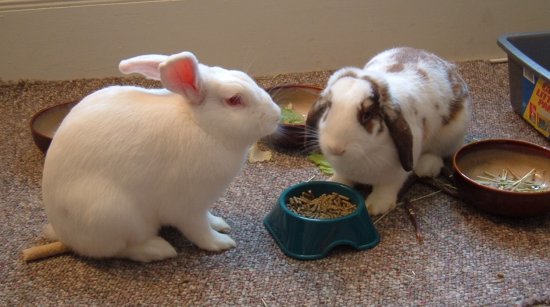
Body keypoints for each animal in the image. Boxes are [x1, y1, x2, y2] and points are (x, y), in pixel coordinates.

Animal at [41, 51, 282, 262]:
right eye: (234, 100)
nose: (277, 115)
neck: (201, 125)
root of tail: (63, 234)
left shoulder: (202, 205)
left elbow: (208, 219)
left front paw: (220, 223)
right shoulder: (188, 207)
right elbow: (200, 231)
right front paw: (221, 242)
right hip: (114, 216)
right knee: (118, 249)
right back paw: (158, 249)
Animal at [308, 47, 472, 217]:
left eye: (367, 115)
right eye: (328, 108)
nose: (336, 148)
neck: (365, 152)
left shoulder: (396, 174)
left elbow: (387, 187)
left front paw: (376, 206)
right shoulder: (344, 171)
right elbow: (343, 179)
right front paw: (333, 183)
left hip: (451, 135)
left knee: (439, 153)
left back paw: (426, 168)